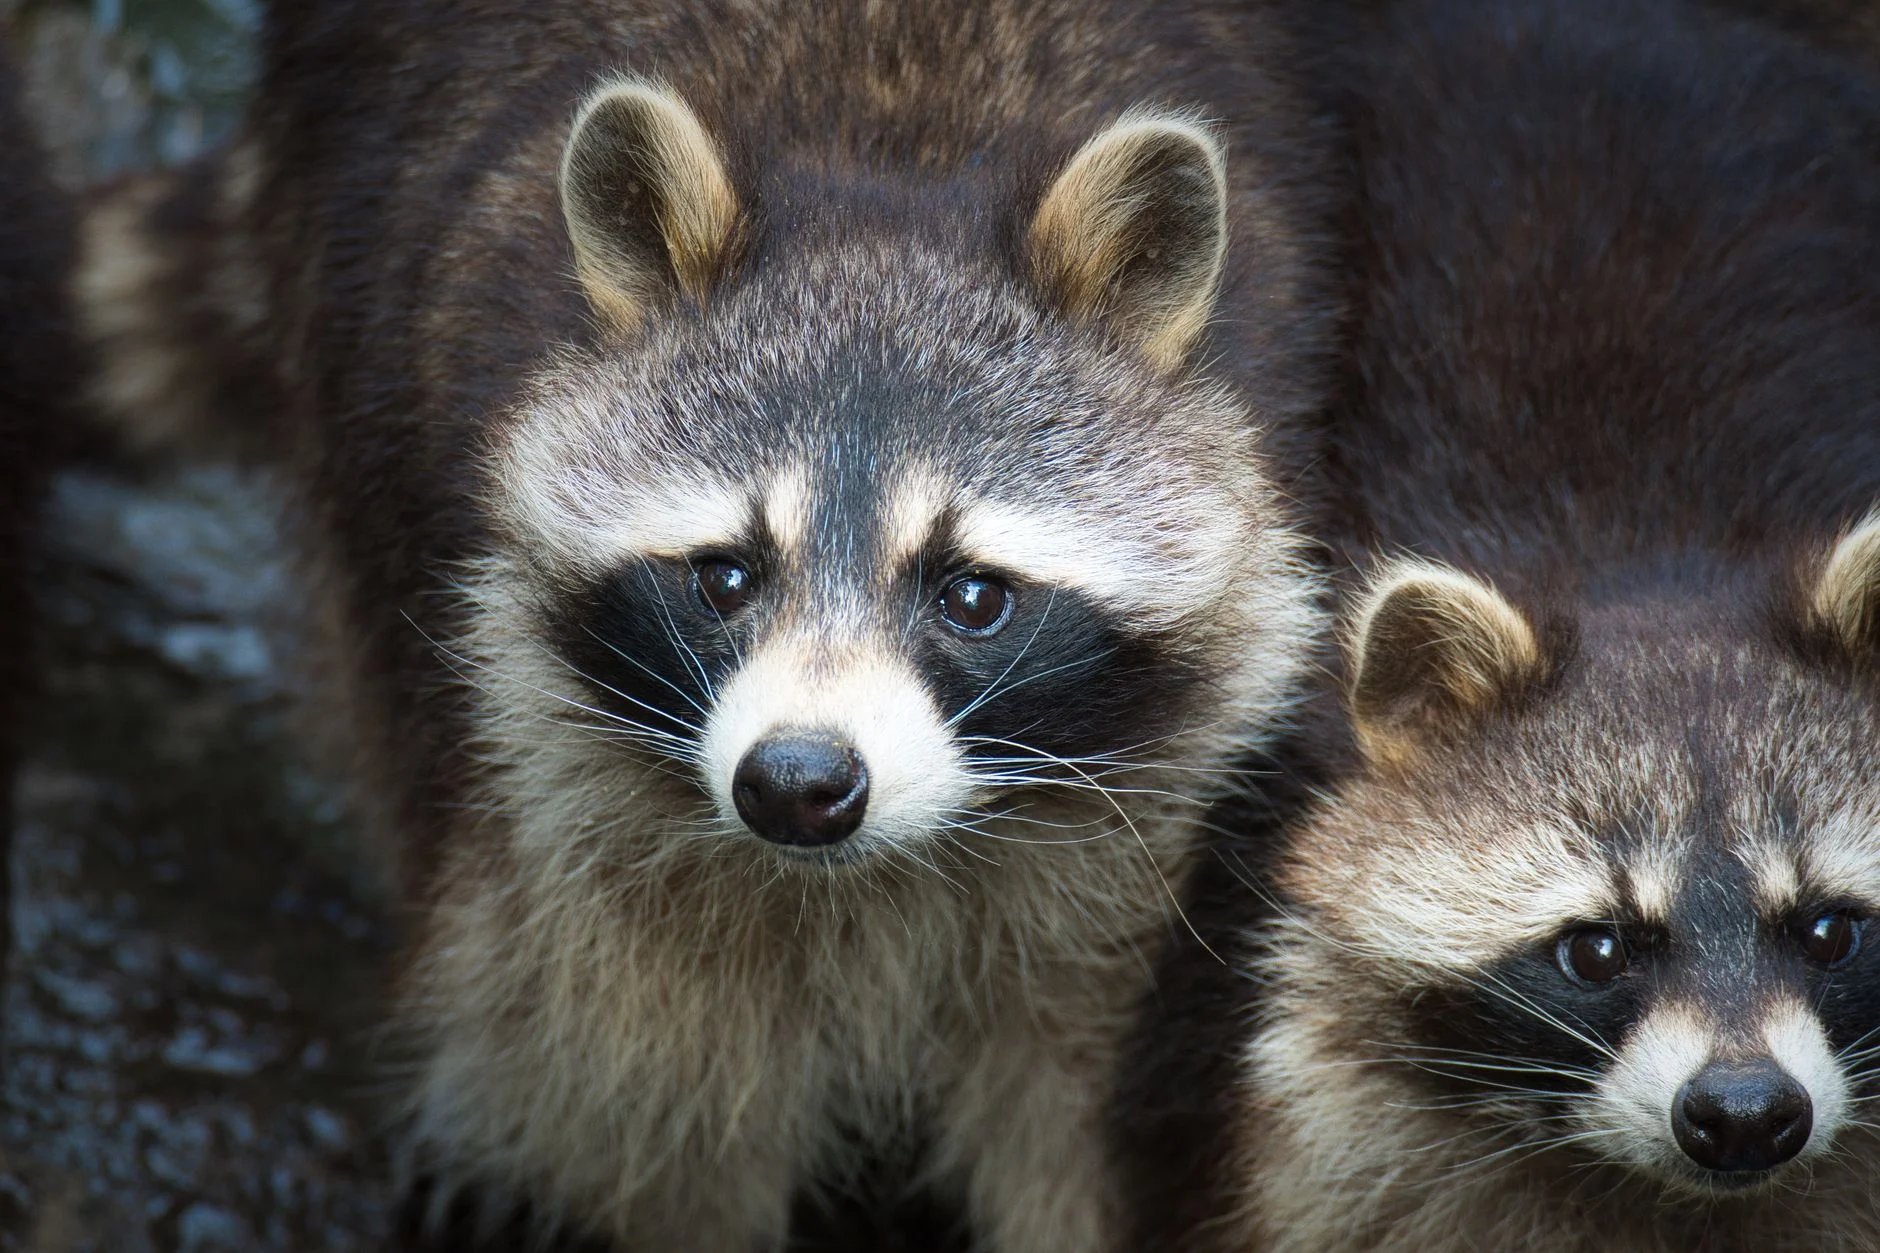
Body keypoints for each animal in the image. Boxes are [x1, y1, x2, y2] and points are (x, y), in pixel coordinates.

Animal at [76, 1, 1337, 1247]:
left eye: (971, 596)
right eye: (724, 576)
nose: (796, 781)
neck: (893, 163)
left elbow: (1080, 1088)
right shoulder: (533, 731)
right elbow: (648, 1069)